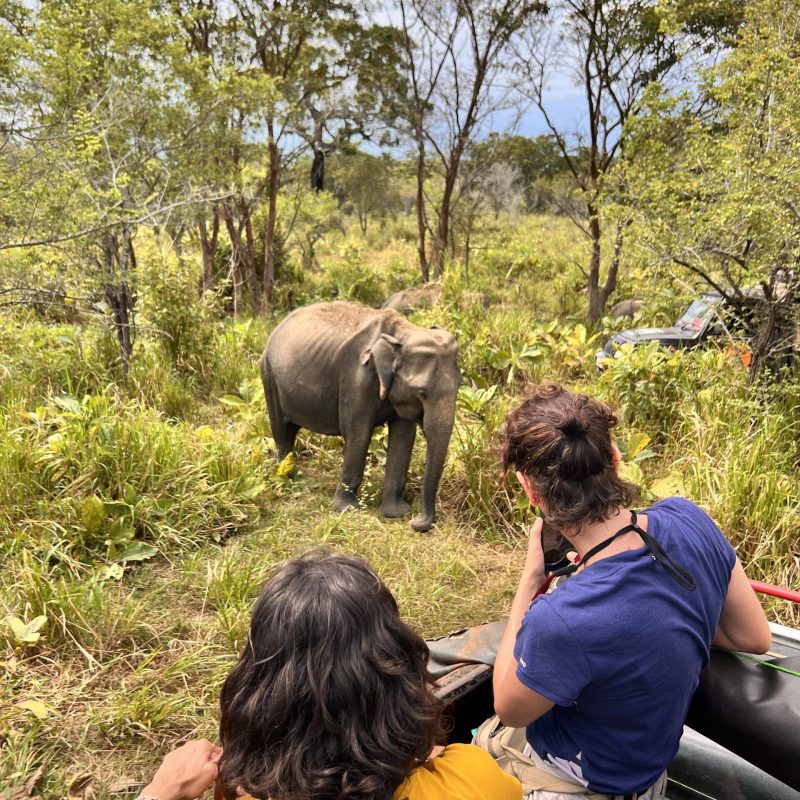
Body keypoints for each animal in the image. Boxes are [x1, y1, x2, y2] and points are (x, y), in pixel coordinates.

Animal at [260, 301, 461, 532]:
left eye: (460, 385)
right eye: (422, 393)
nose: (416, 522)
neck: (403, 333)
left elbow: (403, 437)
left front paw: (396, 513)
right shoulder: (356, 378)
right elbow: (359, 433)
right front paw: (347, 509)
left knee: (290, 430)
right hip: (268, 374)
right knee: (281, 430)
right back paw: (287, 478)